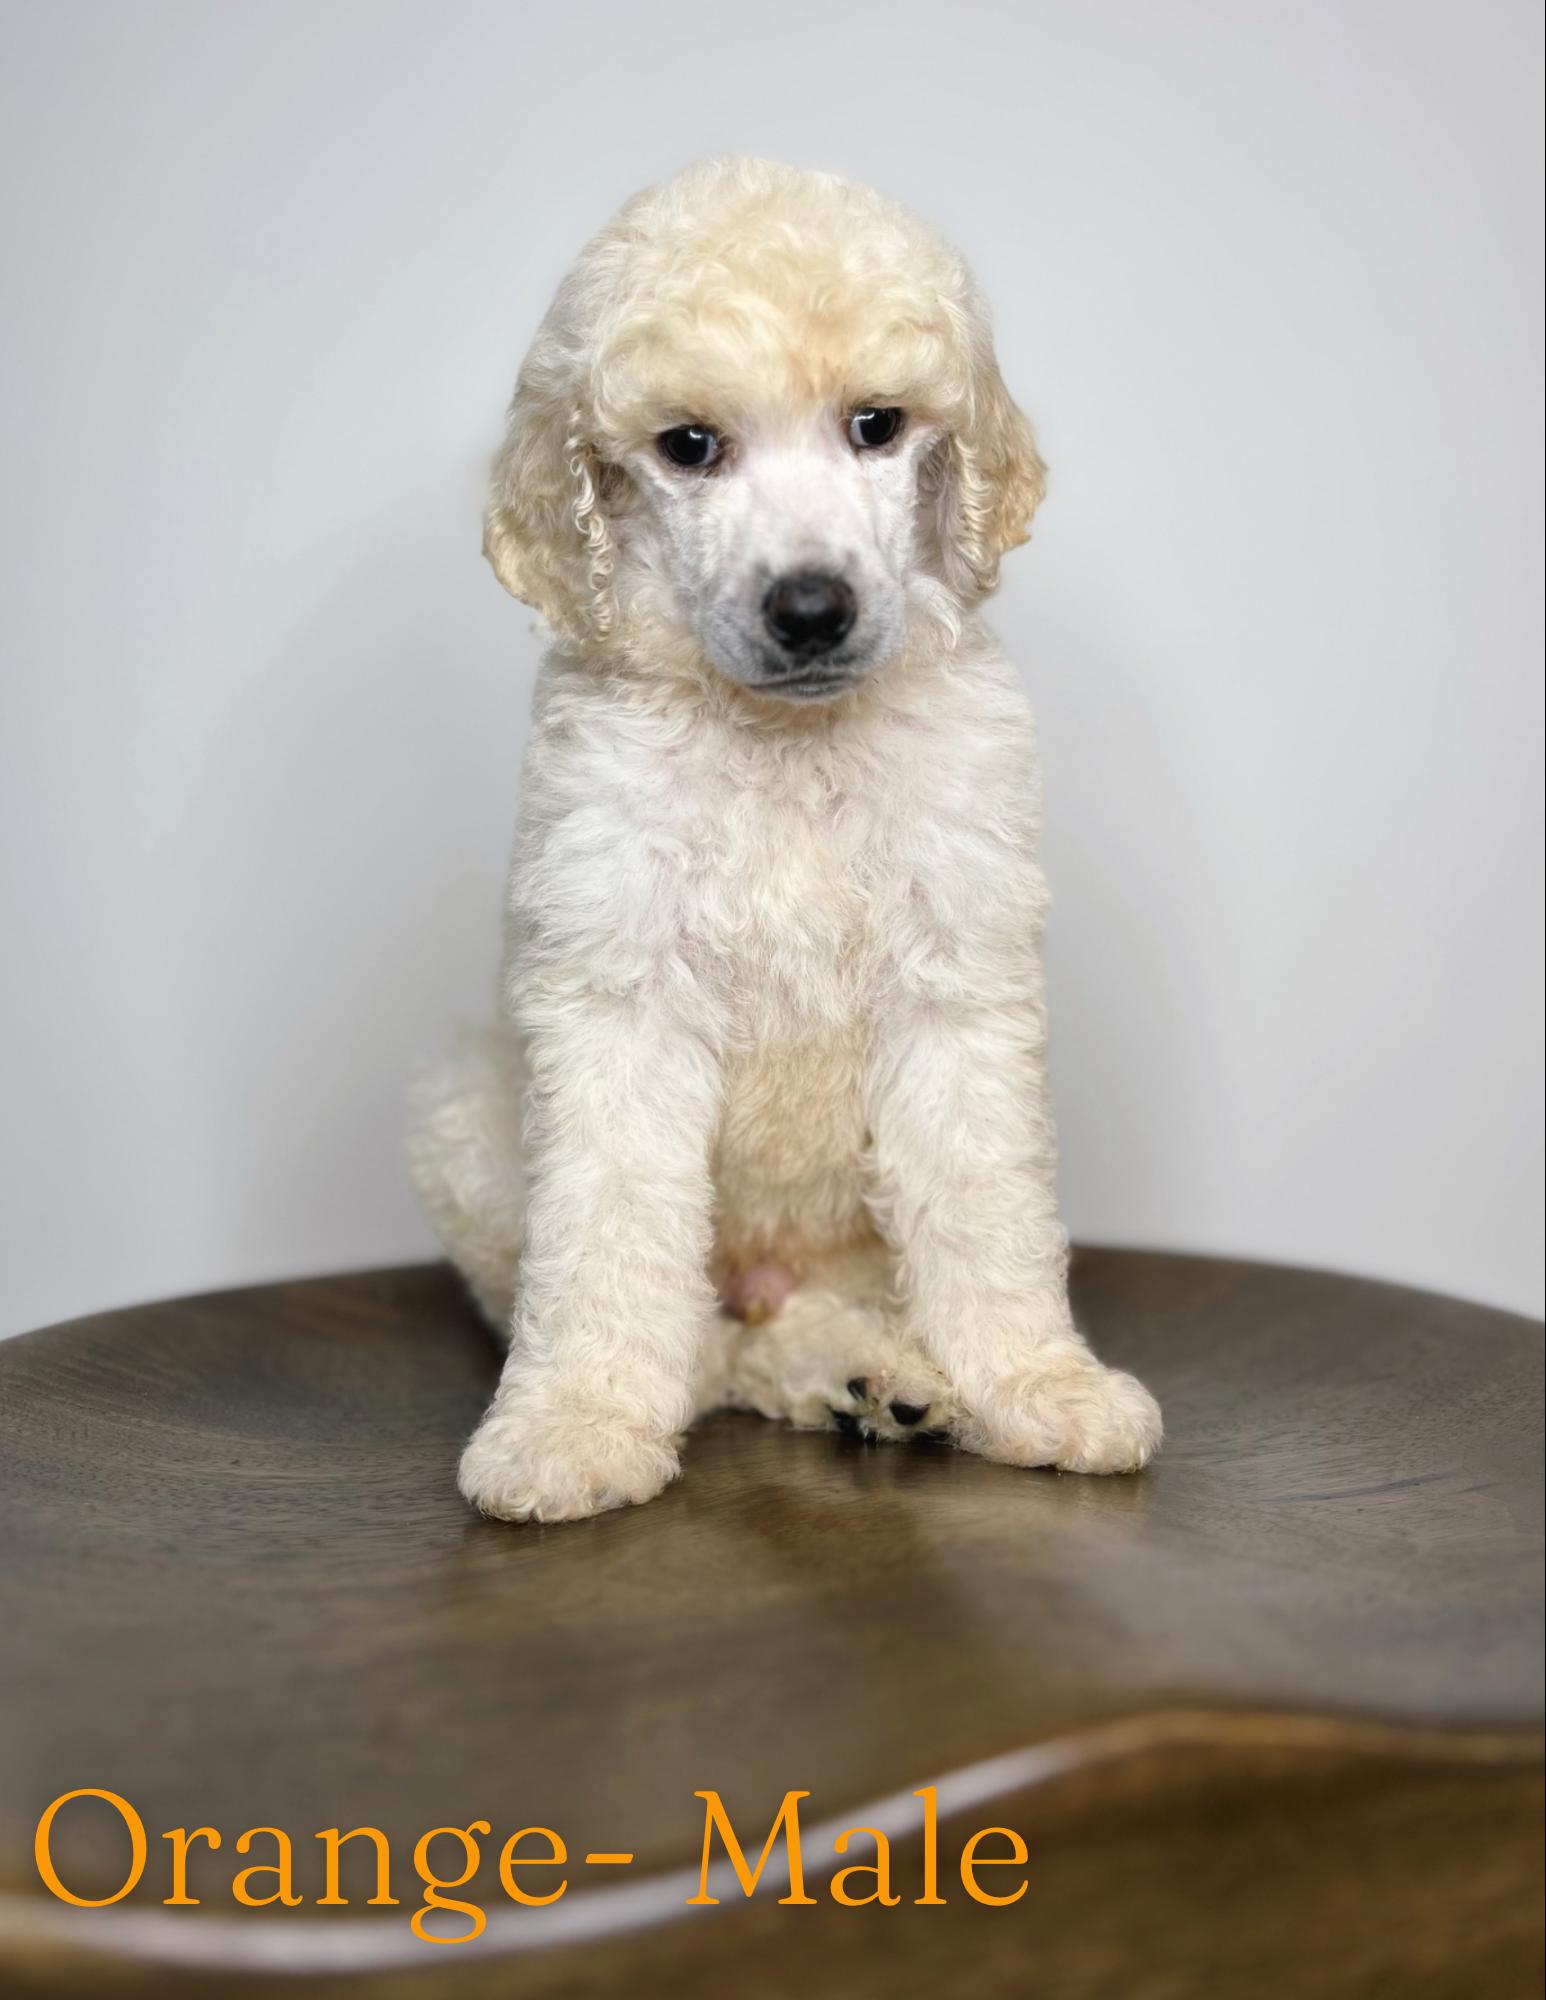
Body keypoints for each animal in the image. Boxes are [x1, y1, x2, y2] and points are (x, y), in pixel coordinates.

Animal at [410, 157, 1162, 1521]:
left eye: (876, 424)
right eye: (688, 446)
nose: (811, 609)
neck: (785, 743)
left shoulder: (956, 979)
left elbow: (985, 1205)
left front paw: (1039, 1382)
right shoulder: (618, 991)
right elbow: (604, 1224)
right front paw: (574, 1420)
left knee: (802, 1320)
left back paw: (880, 1375)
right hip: (462, 1119)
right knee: (712, 1352)